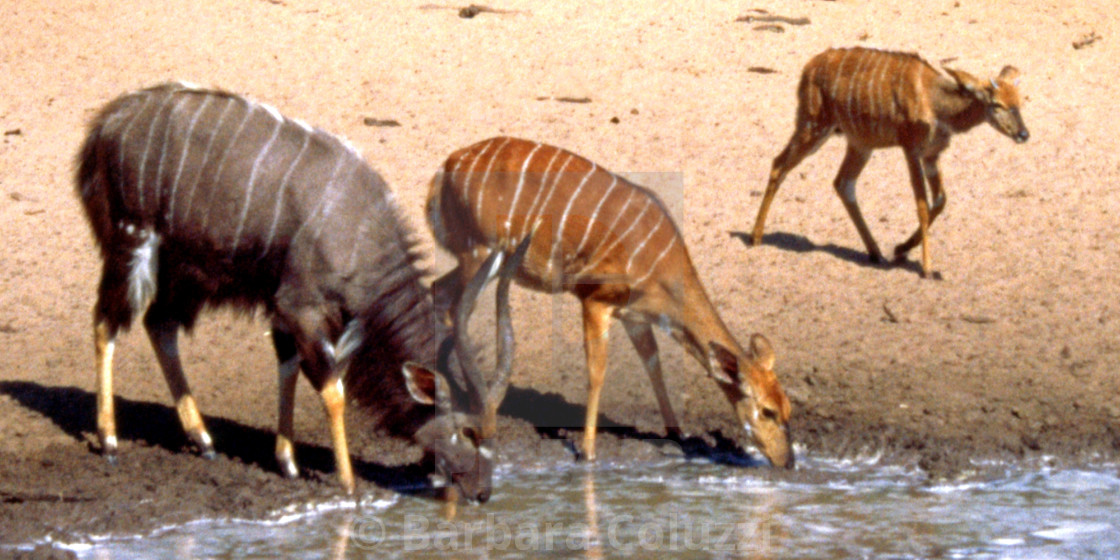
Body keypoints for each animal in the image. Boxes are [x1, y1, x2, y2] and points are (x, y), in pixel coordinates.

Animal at [77, 82, 512, 499]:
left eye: (492, 431)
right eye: (468, 431)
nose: (483, 493)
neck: (359, 230)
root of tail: (107, 124)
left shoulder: (298, 316)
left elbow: (288, 369)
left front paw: (287, 462)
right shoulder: (301, 307)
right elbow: (332, 389)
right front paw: (348, 484)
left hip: (183, 270)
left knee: (159, 324)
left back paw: (203, 439)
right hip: (133, 240)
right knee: (105, 323)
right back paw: (110, 440)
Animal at [427, 136, 797, 468]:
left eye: (788, 408)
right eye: (768, 411)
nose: (788, 461)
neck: (661, 263)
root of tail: (447, 166)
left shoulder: (635, 316)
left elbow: (653, 364)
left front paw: (677, 433)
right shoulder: (594, 300)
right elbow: (597, 371)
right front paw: (587, 451)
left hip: (484, 261)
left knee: (437, 291)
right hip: (479, 253)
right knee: (455, 310)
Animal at [748, 45, 1025, 277]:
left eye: (1020, 102)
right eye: (996, 104)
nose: (1024, 134)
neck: (936, 103)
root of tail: (808, 68)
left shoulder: (932, 154)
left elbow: (940, 200)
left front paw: (901, 249)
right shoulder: (911, 148)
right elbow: (922, 205)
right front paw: (926, 268)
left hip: (859, 143)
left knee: (843, 183)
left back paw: (876, 253)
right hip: (814, 125)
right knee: (779, 164)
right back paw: (755, 238)